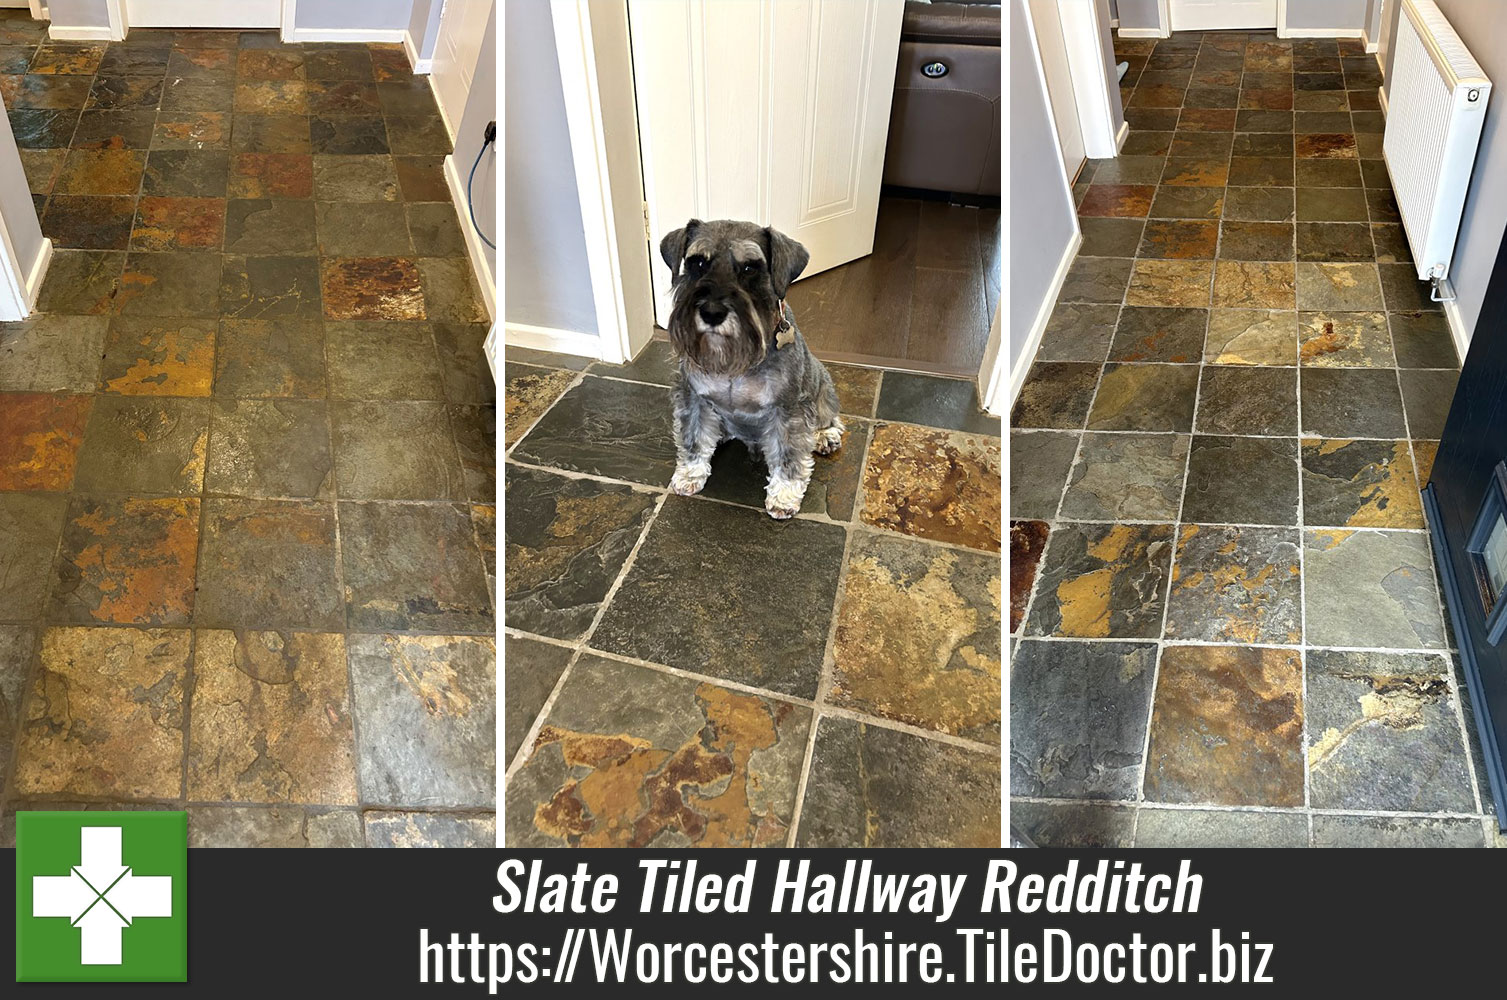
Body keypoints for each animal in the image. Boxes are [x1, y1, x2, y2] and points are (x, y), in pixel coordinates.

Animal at [660, 221, 849, 524]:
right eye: (697, 262)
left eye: (750, 268)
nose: (712, 312)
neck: (734, 363)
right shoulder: (693, 398)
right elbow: (694, 438)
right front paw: (690, 474)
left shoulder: (788, 409)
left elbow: (788, 455)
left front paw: (784, 496)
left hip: (822, 387)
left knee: (829, 417)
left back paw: (825, 435)